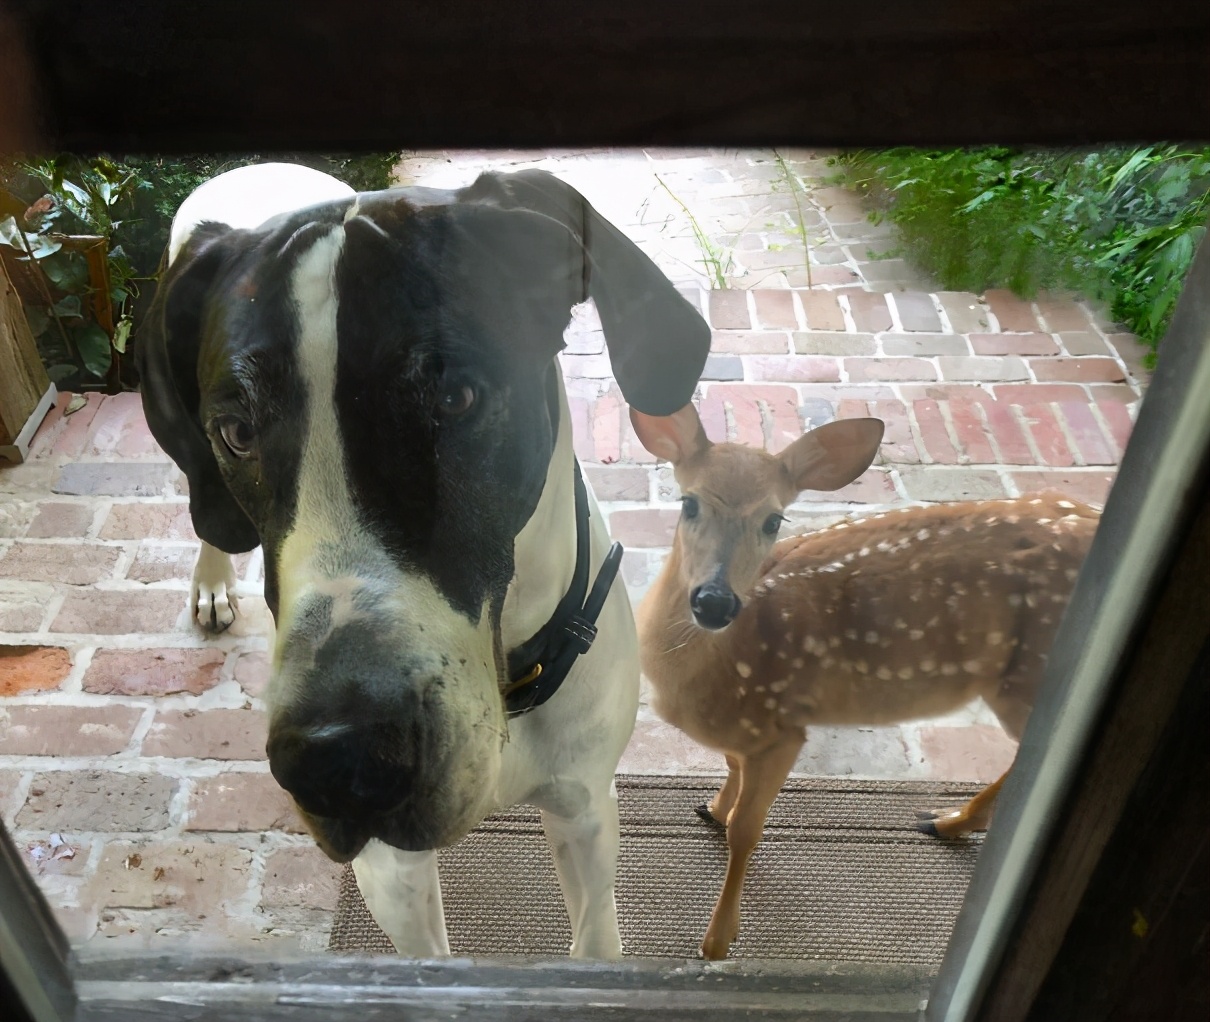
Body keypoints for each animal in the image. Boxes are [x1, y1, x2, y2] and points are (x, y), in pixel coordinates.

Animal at [137, 162, 706, 957]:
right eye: (238, 432)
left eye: (453, 397)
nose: (334, 761)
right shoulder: (392, 874)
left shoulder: (588, 806)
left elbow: (595, 937)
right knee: (205, 511)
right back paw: (214, 580)